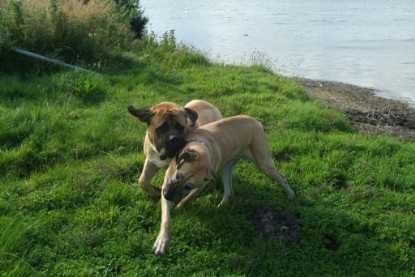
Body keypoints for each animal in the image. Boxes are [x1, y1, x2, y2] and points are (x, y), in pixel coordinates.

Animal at [153, 115, 296, 254]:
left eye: (188, 186)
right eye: (178, 176)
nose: (166, 195)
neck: (202, 147)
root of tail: (256, 122)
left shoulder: (202, 183)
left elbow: (189, 197)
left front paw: (180, 206)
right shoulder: (169, 180)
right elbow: (166, 219)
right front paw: (162, 240)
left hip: (263, 163)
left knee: (282, 177)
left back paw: (290, 194)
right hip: (227, 167)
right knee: (229, 192)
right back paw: (222, 205)